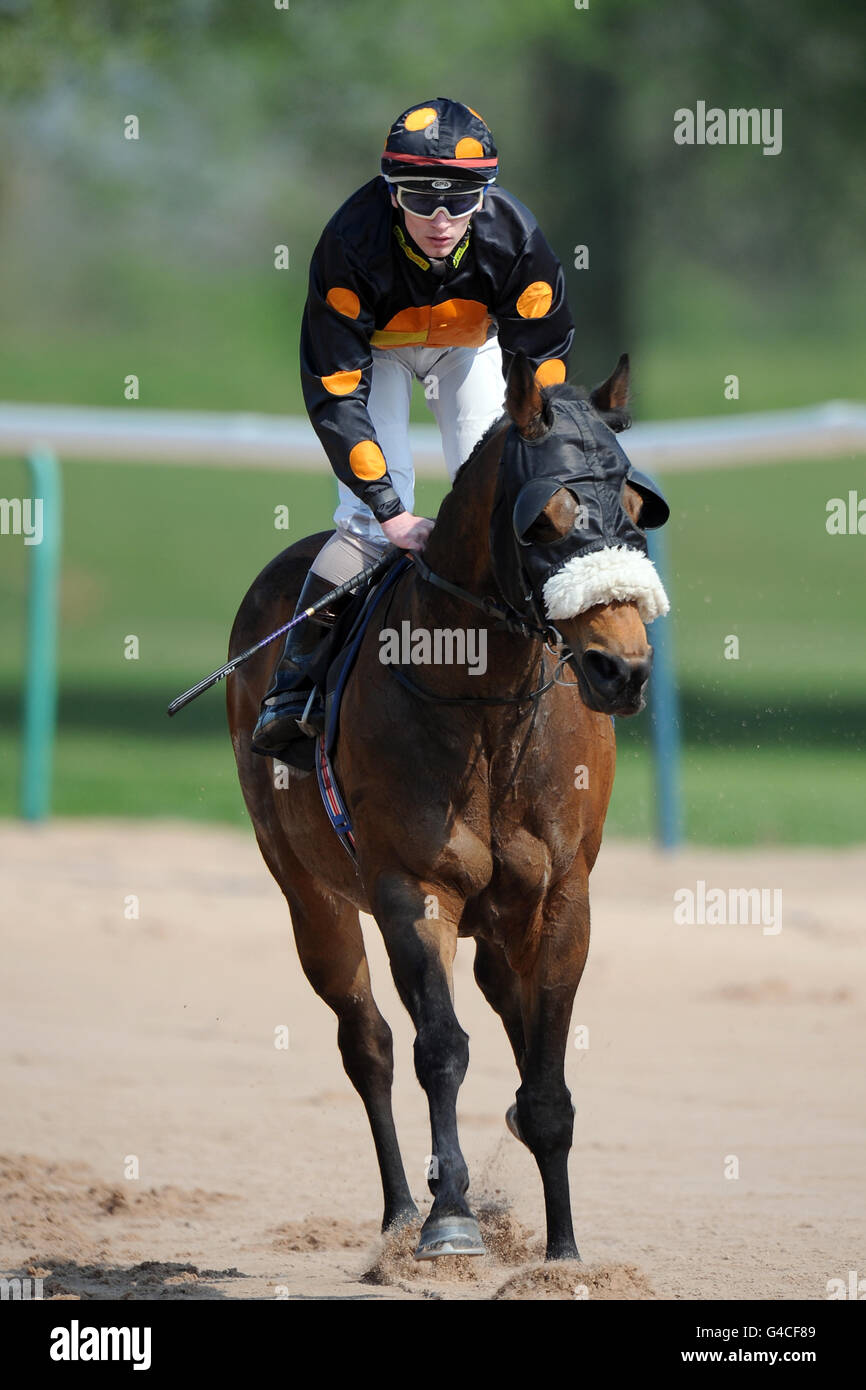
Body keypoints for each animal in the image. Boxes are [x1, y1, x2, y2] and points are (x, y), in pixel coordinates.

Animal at [225, 347, 670, 1262]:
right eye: (546, 521)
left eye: (640, 513)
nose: (623, 669)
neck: (486, 706)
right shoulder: (412, 889)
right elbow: (439, 1047)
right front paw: (451, 1215)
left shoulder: (562, 894)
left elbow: (546, 1074)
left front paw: (563, 1251)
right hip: (308, 893)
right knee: (368, 1042)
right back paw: (400, 1210)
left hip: (500, 917)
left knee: (506, 1009)